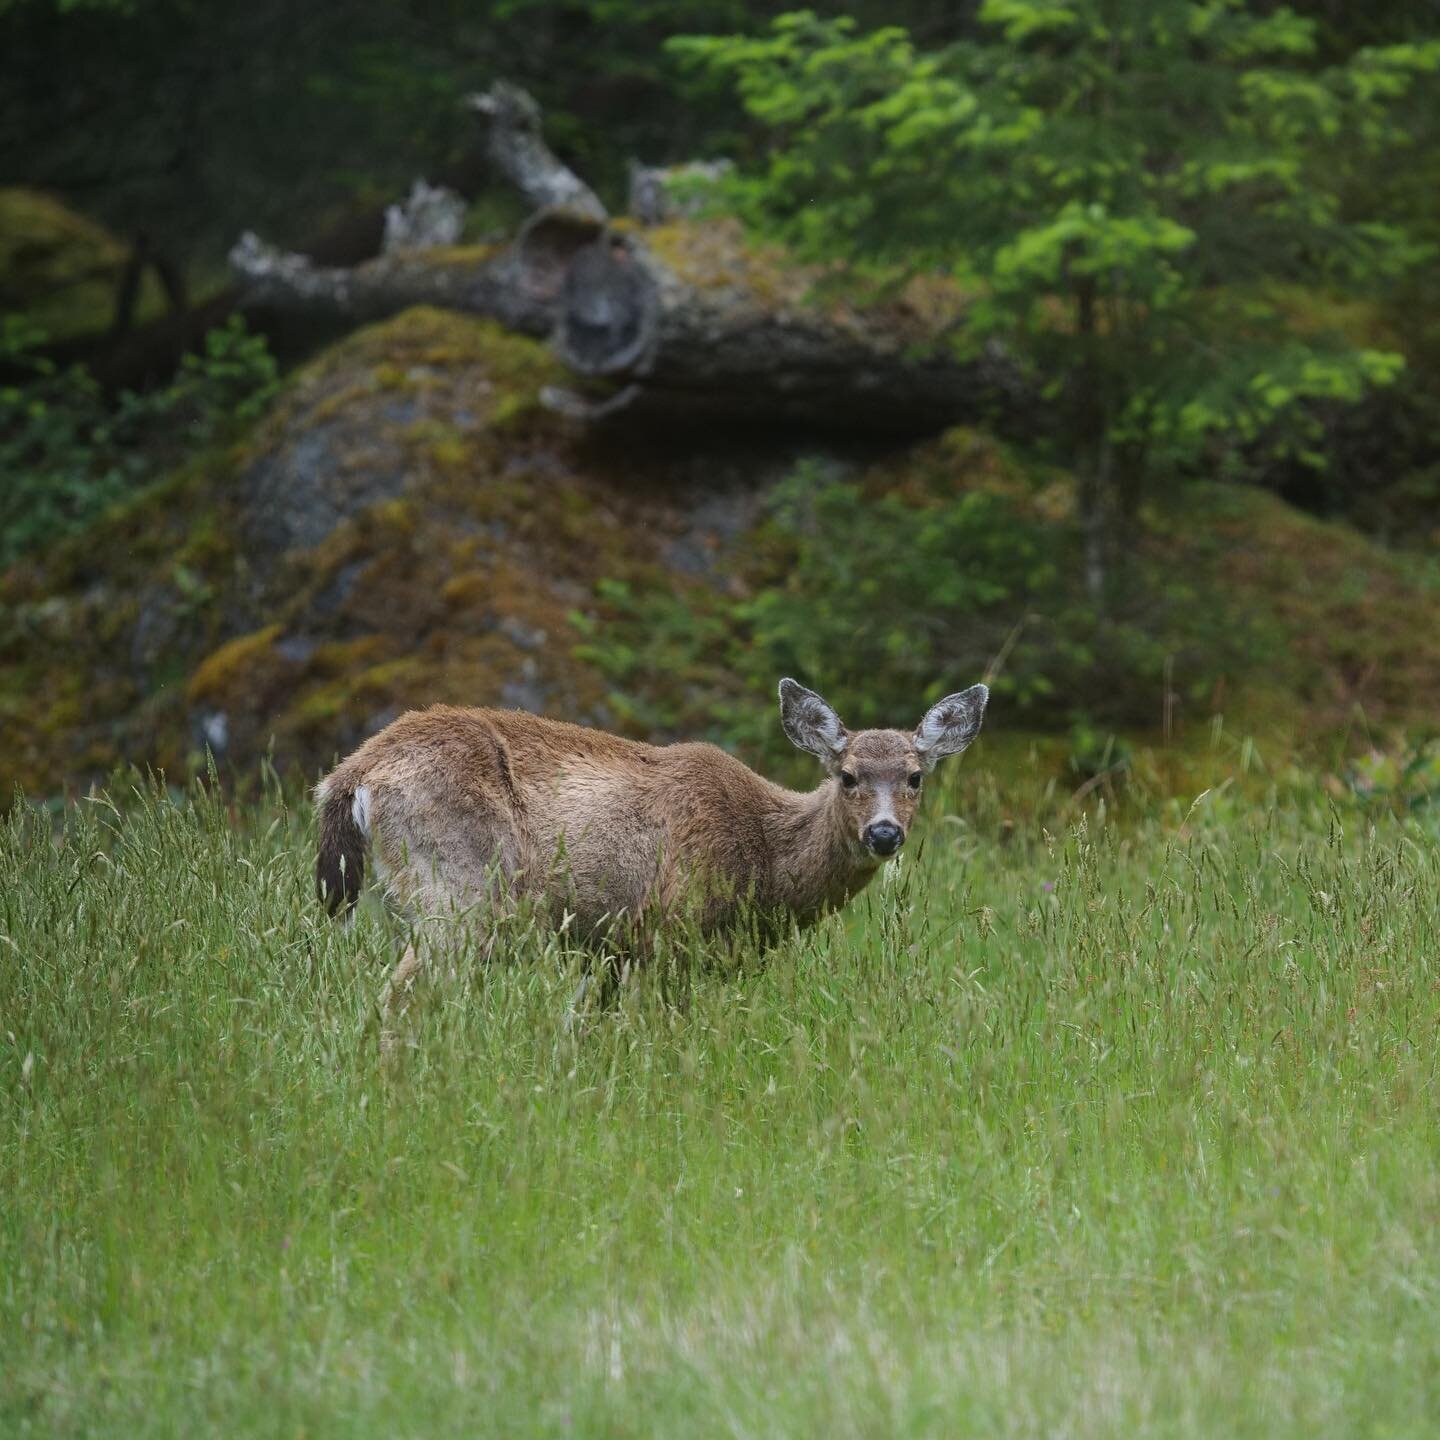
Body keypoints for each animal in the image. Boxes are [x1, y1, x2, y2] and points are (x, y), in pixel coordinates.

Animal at [315, 676, 990, 1025]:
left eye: (916, 776)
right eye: (847, 775)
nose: (884, 833)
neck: (763, 862)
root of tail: (353, 774)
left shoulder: (612, 947)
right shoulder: (671, 926)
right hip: (459, 891)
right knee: (400, 997)